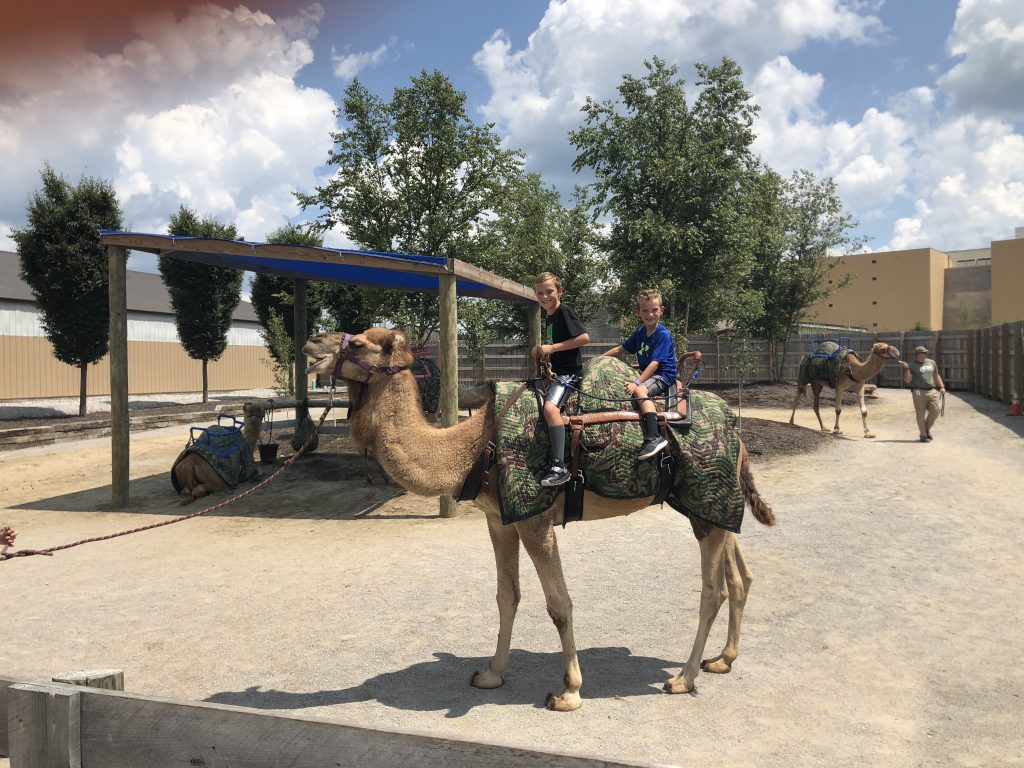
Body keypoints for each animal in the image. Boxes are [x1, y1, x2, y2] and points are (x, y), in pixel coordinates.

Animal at [303, 327, 774, 712]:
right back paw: (722, 660)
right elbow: (506, 595)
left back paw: (682, 678)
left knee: (713, 591)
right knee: (739, 577)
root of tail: (734, 428)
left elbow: (559, 603)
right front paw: (490, 674)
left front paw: (569, 691)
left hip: (708, 495)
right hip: (709, 505)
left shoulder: (535, 517)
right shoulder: (500, 519)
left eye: (359, 343)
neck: (475, 446)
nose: (310, 345)